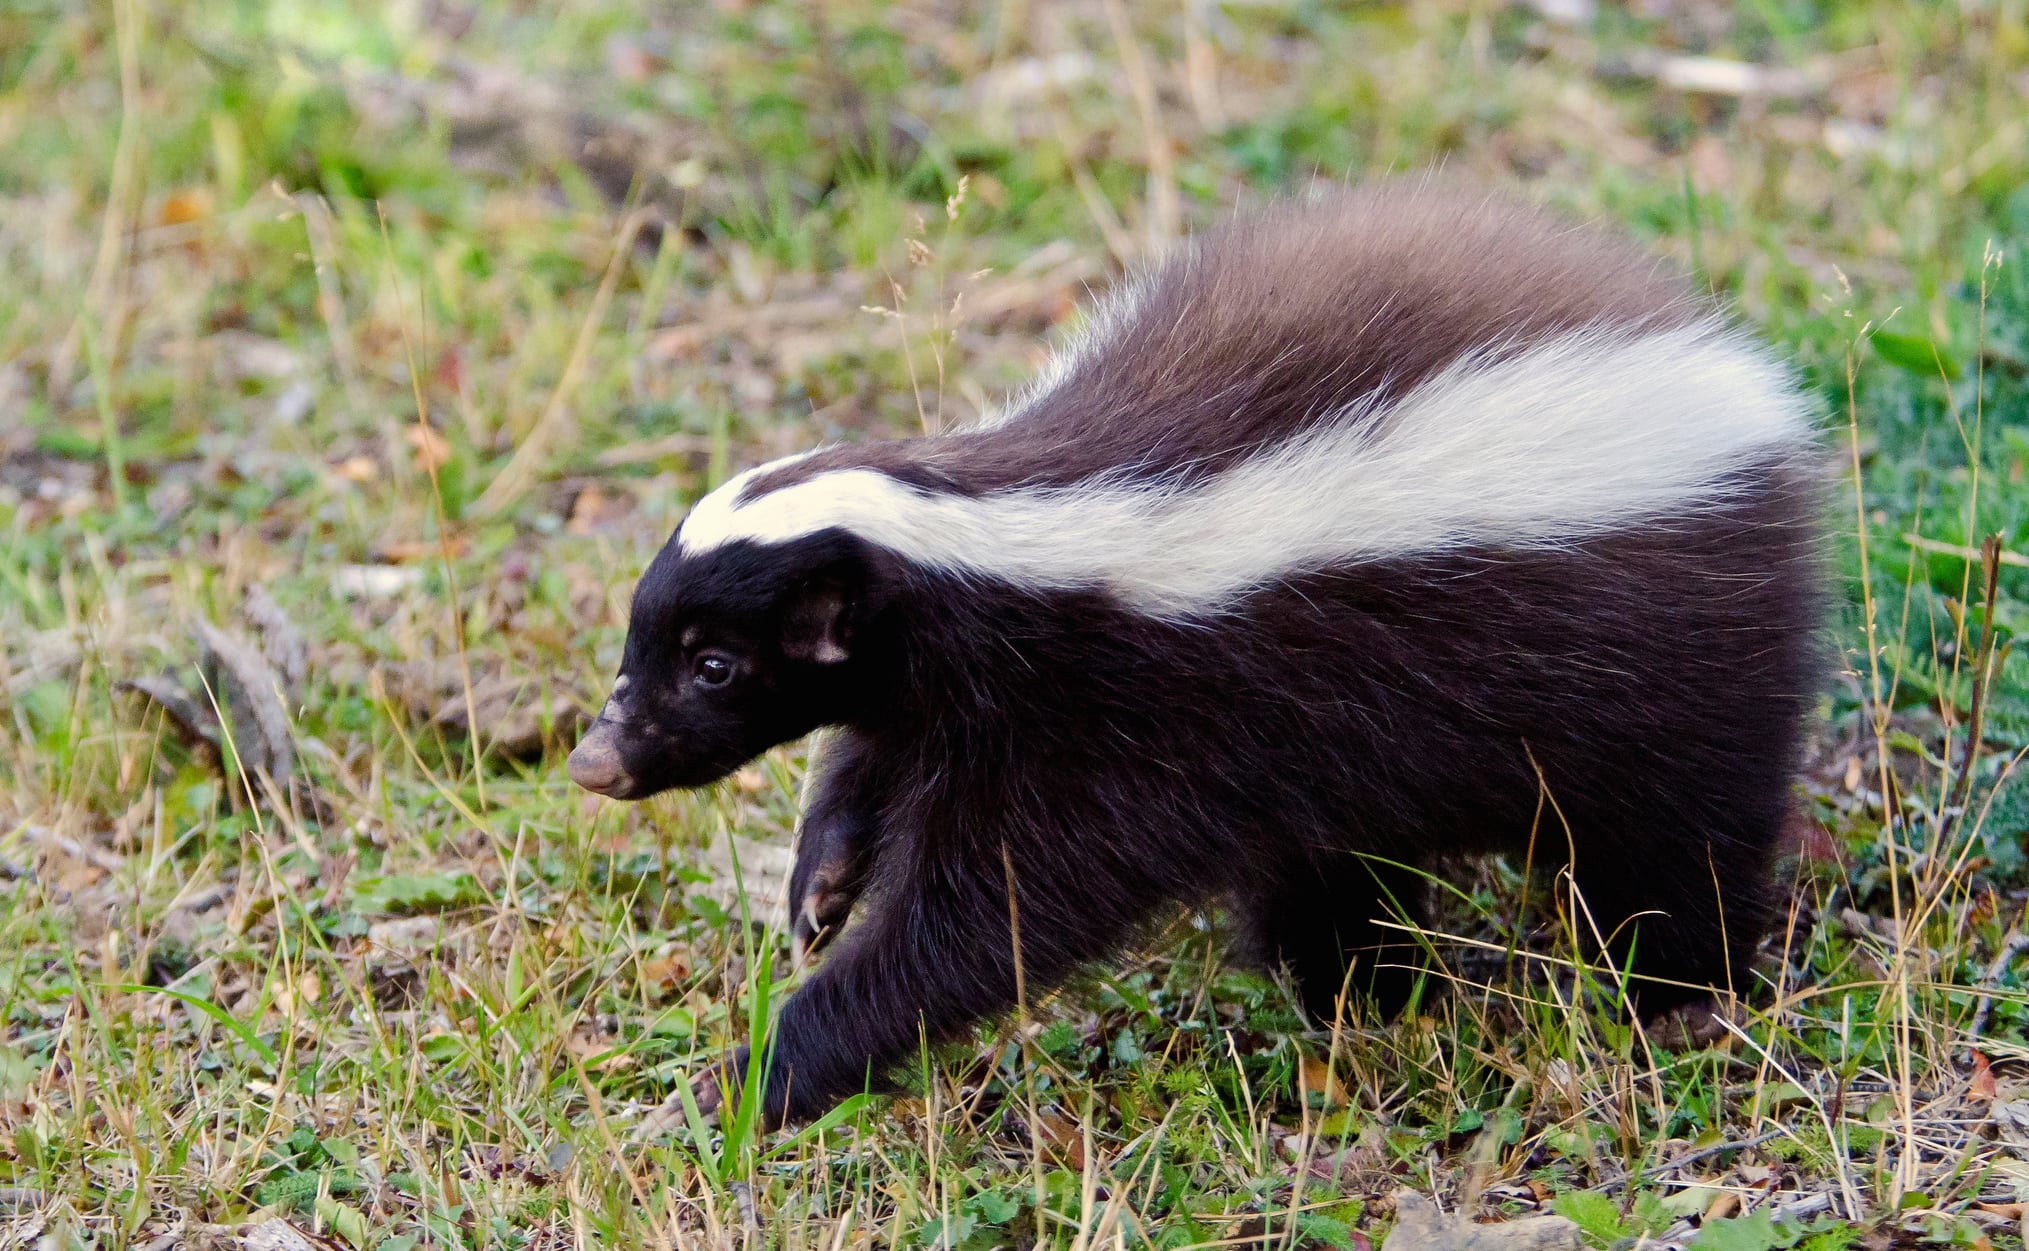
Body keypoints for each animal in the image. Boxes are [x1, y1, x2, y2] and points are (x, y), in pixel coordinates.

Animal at [568, 178, 1826, 1119]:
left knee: (1682, 840)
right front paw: (819, 881)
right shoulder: (967, 698)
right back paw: (1363, 998)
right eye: (648, 638)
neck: (1002, 543)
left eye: (714, 664)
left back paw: (1669, 996)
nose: (596, 758)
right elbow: (873, 753)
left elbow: (984, 926)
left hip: (1682, 661)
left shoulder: (1115, 736)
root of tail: (1726, 364)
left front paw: (758, 1077)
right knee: (1334, 877)